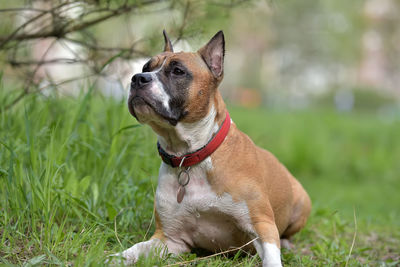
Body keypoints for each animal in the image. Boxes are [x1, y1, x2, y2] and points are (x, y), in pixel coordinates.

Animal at [111, 30, 310, 266]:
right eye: (145, 68)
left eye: (178, 71)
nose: (138, 78)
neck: (191, 156)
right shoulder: (170, 240)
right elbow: (136, 249)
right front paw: (116, 257)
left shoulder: (262, 225)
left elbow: (271, 257)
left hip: (302, 202)